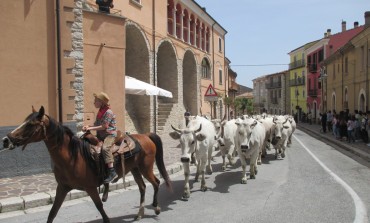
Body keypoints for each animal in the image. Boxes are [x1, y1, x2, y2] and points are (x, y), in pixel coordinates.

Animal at [1, 106, 172, 221]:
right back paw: (139, 214)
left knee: (156, 183)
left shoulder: (90, 188)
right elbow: (52, 212)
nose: (6, 139)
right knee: (143, 188)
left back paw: (156, 207)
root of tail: (146, 136)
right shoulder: (62, 188)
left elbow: (100, 208)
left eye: (30, 124)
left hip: (145, 168)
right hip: (135, 169)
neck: (72, 157)